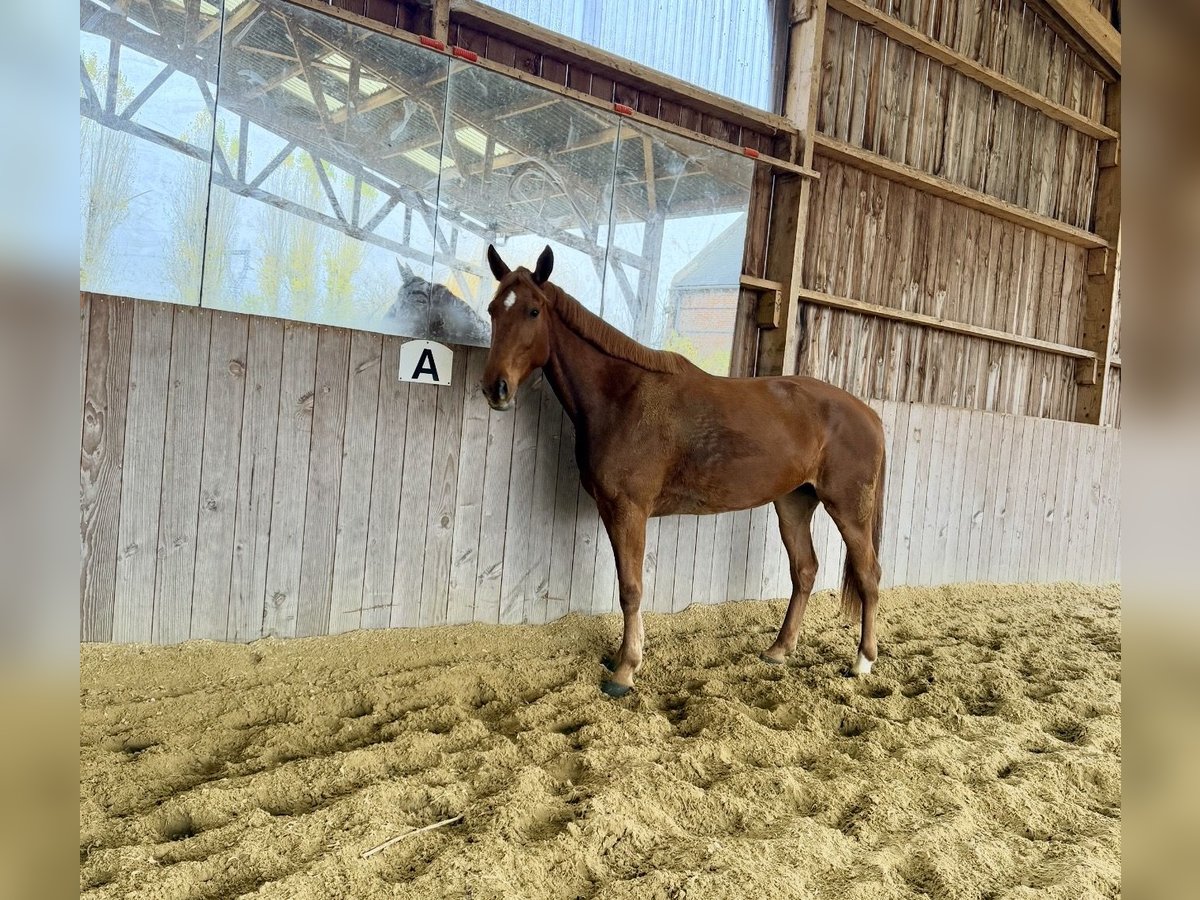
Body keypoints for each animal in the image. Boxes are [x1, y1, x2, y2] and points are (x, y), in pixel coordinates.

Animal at [480, 245, 887, 698]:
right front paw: (624, 657)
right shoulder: (611, 510)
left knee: (868, 574)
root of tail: (868, 413)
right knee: (805, 571)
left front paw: (625, 671)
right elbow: (625, 585)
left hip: (848, 508)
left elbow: (631, 589)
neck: (622, 396)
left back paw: (862, 662)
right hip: (794, 503)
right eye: (494, 309)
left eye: (533, 311)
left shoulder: (630, 510)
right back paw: (778, 650)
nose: (496, 388)